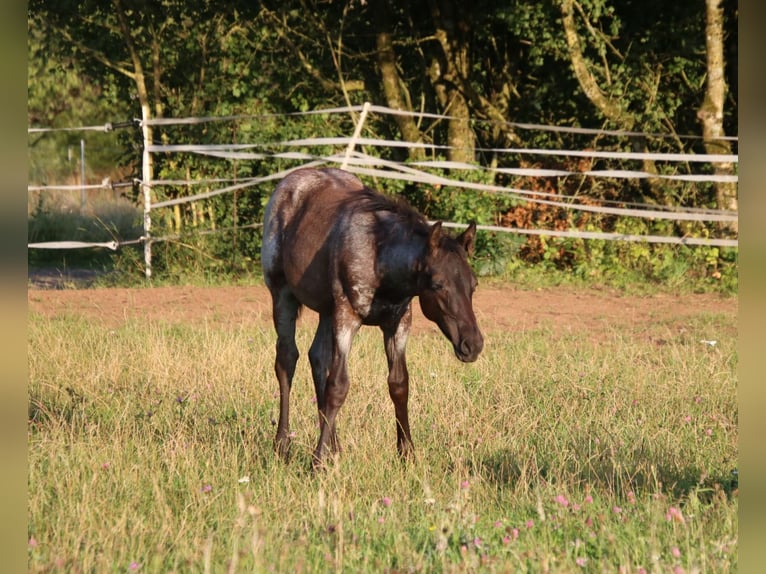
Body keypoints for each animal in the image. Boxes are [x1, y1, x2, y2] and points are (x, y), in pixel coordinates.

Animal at [261, 167, 484, 468]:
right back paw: (283, 445)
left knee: (317, 358)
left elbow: (399, 384)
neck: (379, 256)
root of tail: (290, 180)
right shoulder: (347, 316)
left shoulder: (398, 322)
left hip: (326, 310)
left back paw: (335, 447)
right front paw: (316, 462)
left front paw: (407, 454)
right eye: (438, 285)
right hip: (282, 294)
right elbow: (338, 386)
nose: (473, 345)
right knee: (287, 359)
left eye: (473, 285)